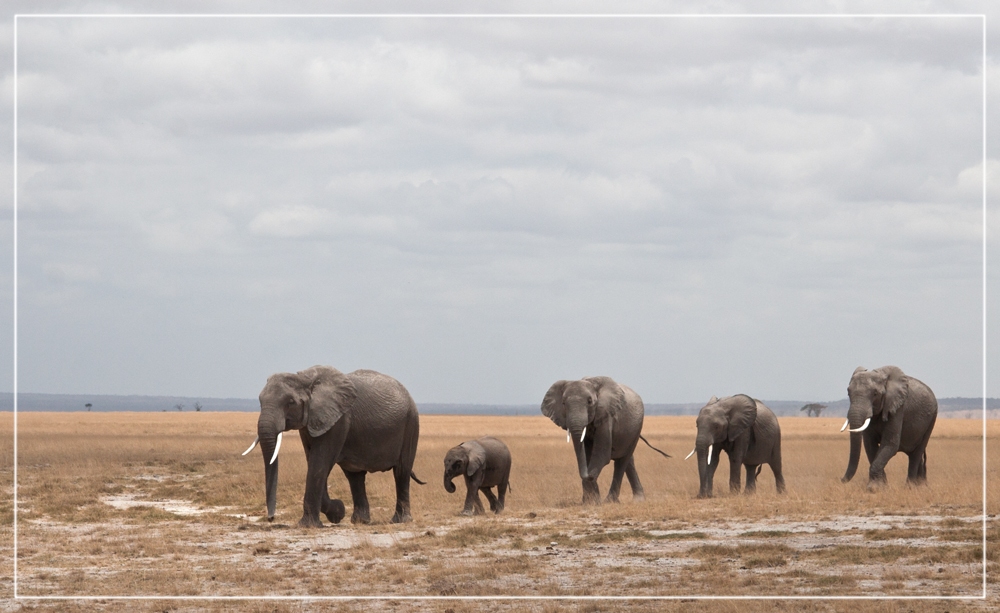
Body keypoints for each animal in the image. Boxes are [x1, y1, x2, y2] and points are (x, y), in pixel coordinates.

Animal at [248, 366, 428, 528]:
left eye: (290, 402)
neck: (305, 378)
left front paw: (311, 524)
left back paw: (400, 521)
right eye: (259, 401)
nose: (271, 518)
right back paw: (360, 521)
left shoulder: (339, 421)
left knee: (401, 472)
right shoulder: (310, 424)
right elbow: (313, 461)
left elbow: (319, 463)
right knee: (355, 477)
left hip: (411, 423)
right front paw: (337, 512)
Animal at [540, 376, 672, 504]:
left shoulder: (606, 416)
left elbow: (602, 455)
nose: (588, 476)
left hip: (637, 427)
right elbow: (587, 455)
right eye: (563, 403)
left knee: (622, 461)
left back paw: (612, 501)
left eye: (590, 401)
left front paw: (593, 501)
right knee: (628, 460)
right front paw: (589, 501)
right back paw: (637, 499)